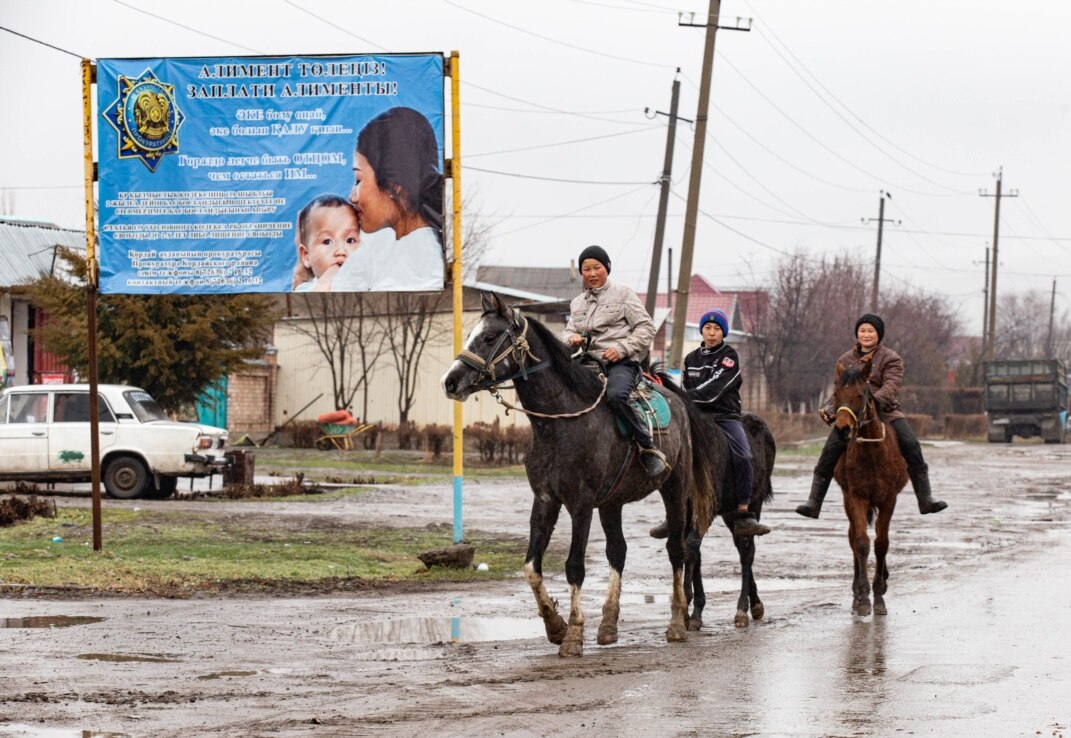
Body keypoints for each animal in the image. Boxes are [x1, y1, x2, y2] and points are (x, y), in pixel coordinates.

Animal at [439, 293, 715, 655]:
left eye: (488, 337)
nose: (450, 381)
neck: (561, 422)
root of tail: (674, 396)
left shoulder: (581, 505)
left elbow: (574, 566)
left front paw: (572, 634)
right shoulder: (545, 500)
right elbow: (531, 567)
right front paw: (555, 625)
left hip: (675, 488)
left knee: (676, 549)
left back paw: (677, 622)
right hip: (613, 502)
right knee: (618, 551)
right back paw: (609, 625)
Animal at [655, 379, 775, 625]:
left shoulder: (705, 511)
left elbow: (691, 548)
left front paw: (687, 606)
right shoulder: (685, 510)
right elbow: (694, 552)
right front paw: (695, 610)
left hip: (753, 504)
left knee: (746, 551)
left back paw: (742, 609)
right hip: (730, 513)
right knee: (741, 546)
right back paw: (755, 604)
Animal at [831, 359, 908, 612]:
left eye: (858, 395)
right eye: (836, 394)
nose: (842, 429)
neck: (872, 451)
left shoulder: (889, 500)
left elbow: (882, 543)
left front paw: (879, 594)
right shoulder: (857, 497)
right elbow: (862, 543)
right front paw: (864, 596)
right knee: (853, 538)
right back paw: (857, 592)